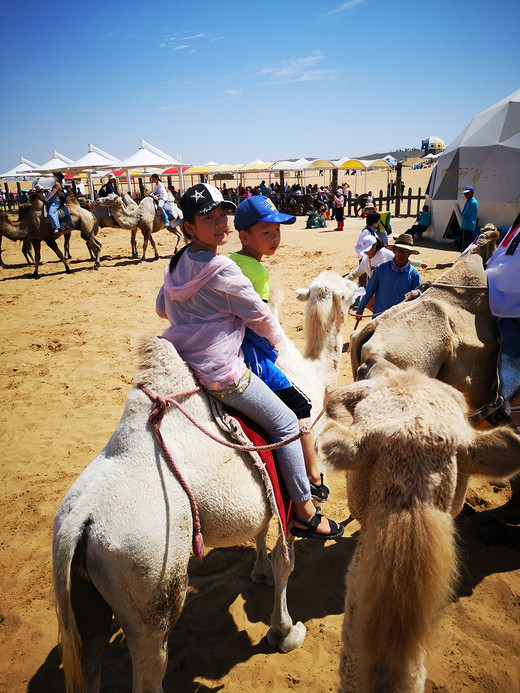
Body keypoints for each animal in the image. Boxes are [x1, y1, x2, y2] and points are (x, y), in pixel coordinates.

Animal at [53, 268, 358, 692]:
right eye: (346, 290)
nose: (361, 287)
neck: (311, 376)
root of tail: (78, 524)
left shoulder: (265, 485)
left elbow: (260, 531)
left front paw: (259, 572)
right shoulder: (291, 468)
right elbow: (286, 558)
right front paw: (285, 632)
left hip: (85, 599)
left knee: (91, 651)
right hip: (148, 577)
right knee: (151, 659)